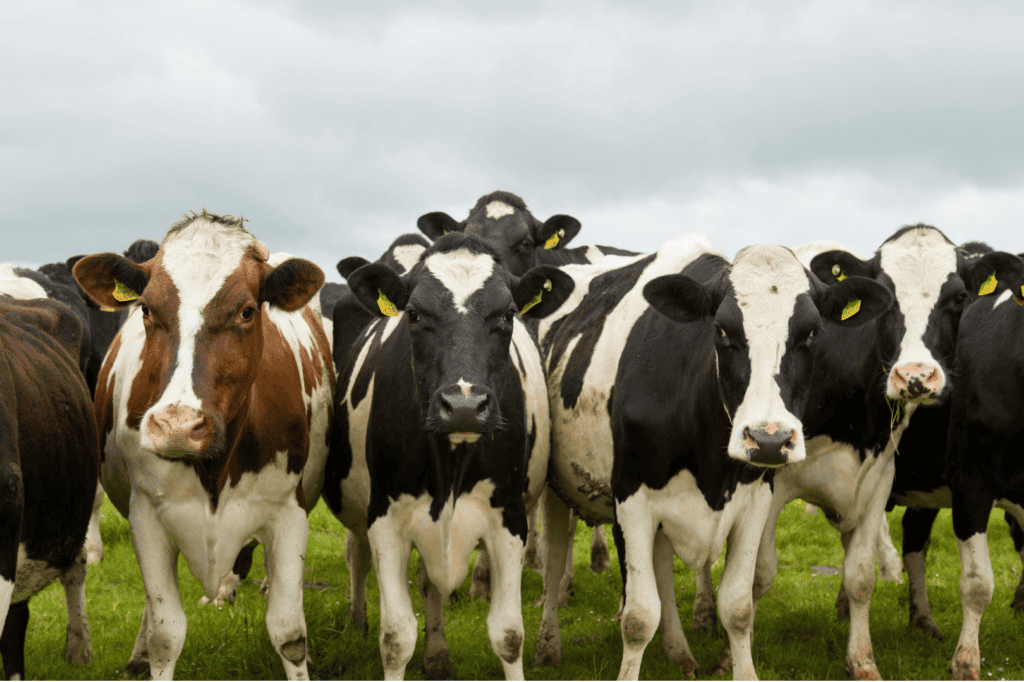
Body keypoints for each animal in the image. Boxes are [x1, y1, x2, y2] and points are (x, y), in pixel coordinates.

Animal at [73, 209, 334, 680]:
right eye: (147, 309)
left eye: (247, 311)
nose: (177, 426)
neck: (216, 468)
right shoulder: (147, 516)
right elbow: (166, 633)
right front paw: (150, 652)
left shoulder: (290, 512)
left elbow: (289, 632)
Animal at [323, 232, 573, 679]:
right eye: (413, 314)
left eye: (507, 314)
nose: (463, 405)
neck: (451, 465)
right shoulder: (385, 518)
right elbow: (396, 638)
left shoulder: (509, 518)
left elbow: (509, 634)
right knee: (358, 557)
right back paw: (357, 621)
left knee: (428, 583)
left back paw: (437, 654)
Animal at [532, 234, 893, 679]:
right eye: (721, 331)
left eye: (811, 334)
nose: (769, 439)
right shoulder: (632, 500)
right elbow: (638, 616)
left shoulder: (755, 502)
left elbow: (737, 607)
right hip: (554, 488)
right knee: (553, 560)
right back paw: (547, 646)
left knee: (662, 568)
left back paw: (679, 652)